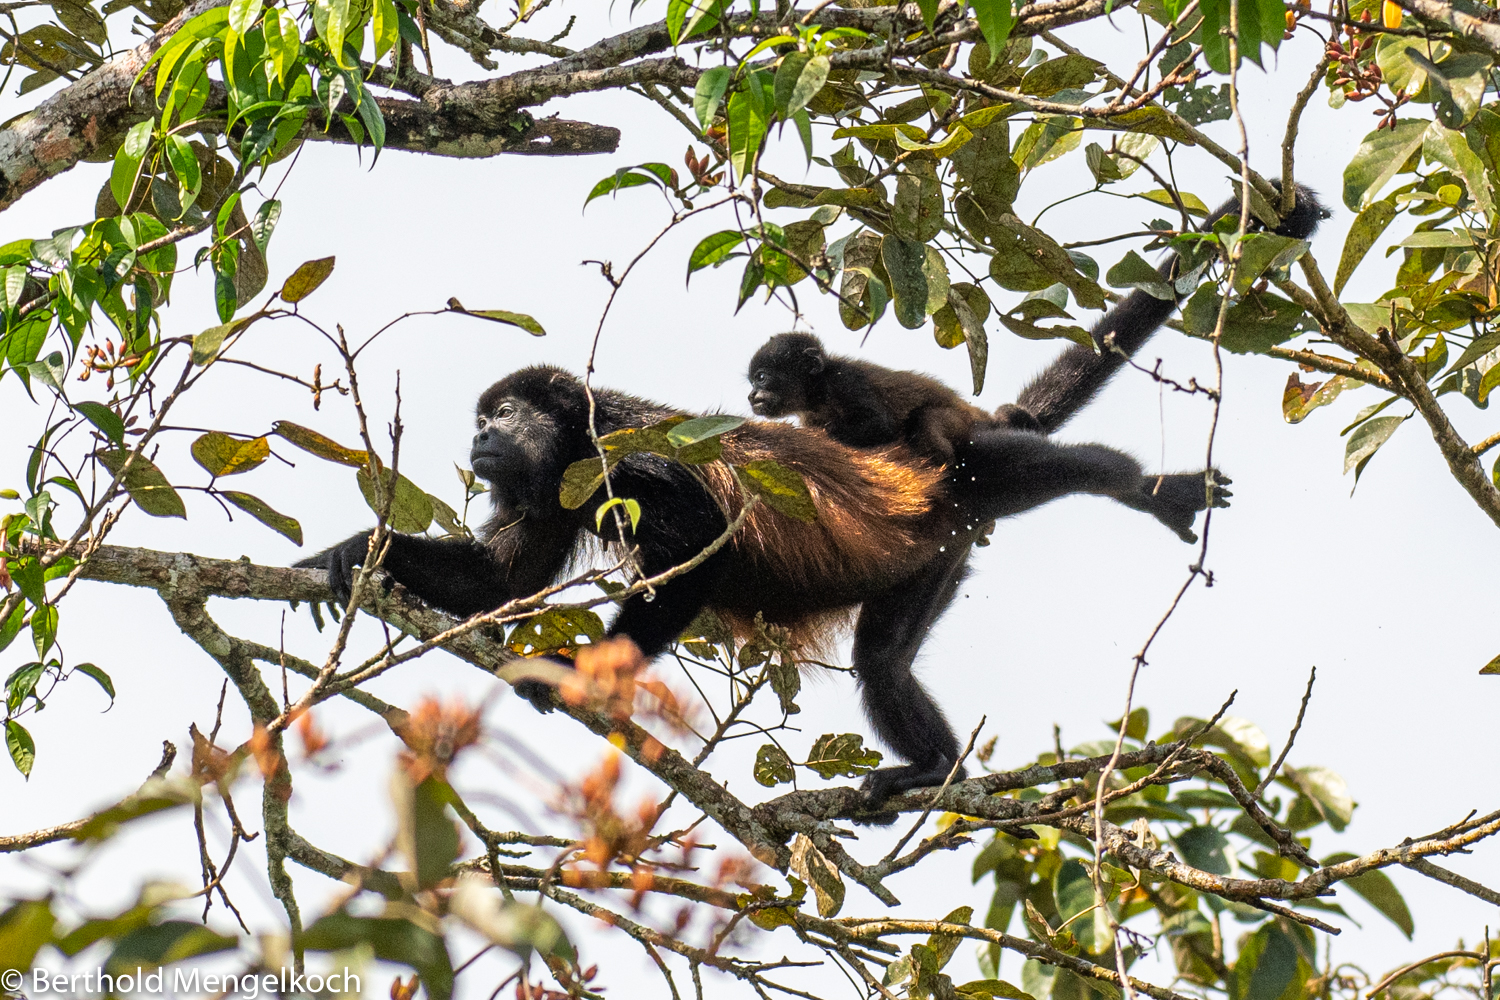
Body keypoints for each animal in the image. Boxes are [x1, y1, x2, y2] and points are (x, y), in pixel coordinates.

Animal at [301, 185, 1326, 803]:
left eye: (502, 413)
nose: (475, 437)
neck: (573, 448)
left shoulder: (628, 460)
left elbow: (692, 548)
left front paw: (577, 672)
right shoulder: (544, 495)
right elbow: (498, 580)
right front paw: (346, 553)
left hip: (961, 485)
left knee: (1039, 468)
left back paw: (1151, 489)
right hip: (934, 557)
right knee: (884, 665)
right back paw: (931, 765)